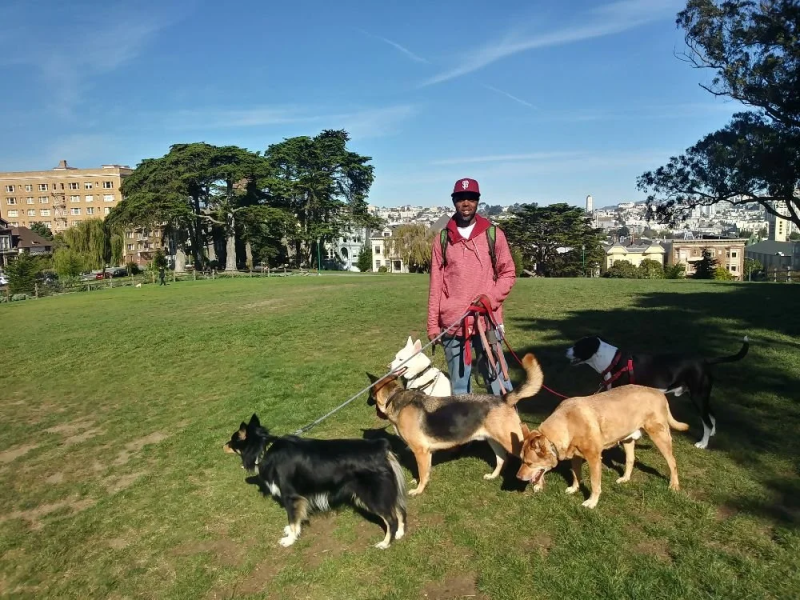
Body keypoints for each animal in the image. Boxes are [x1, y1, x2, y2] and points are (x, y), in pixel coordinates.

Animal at [223, 412, 406, 548]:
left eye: (232, 440)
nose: (222, 445)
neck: (264, 449)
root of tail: (380, 446)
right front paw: (291, 532)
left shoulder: (291, 496)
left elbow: (292, 518)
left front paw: (290, 539)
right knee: (399, 510)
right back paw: (400, 533)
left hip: (373, 495)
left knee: (391, 519)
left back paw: (385, 543)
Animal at [372, 354, 540, 494]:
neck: (395, 397)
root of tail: (503, 398)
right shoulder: (426, 453)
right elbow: (424, 472)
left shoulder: (421, 452)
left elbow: (422, 473)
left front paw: (418, 490)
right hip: (494, 440)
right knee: (502, 459)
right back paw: (493, 476)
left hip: (512, 443)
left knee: (538, 461)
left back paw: (538, 484)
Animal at [516, 384, 692, 506]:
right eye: (521, 460)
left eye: (529, 463)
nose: (518, 477)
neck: (566, 424)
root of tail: (659, 392)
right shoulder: (575, 456)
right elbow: (576, 475)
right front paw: (574, 489)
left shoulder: (594, 458)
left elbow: (595, 484)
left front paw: (591, 503)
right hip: (627, 440)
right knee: (630, 460)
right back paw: (625, 478)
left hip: (660, 437)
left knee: (672, 462)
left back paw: (674, 486)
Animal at [564, 336, 748, 448]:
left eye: (577, 346)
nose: (565, 352)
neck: (612, 361)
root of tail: (704, 360)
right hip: (701, 396)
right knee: (712, 414)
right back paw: (713, 433)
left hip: (698, 396)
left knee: (707, 421)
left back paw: (703, 443)